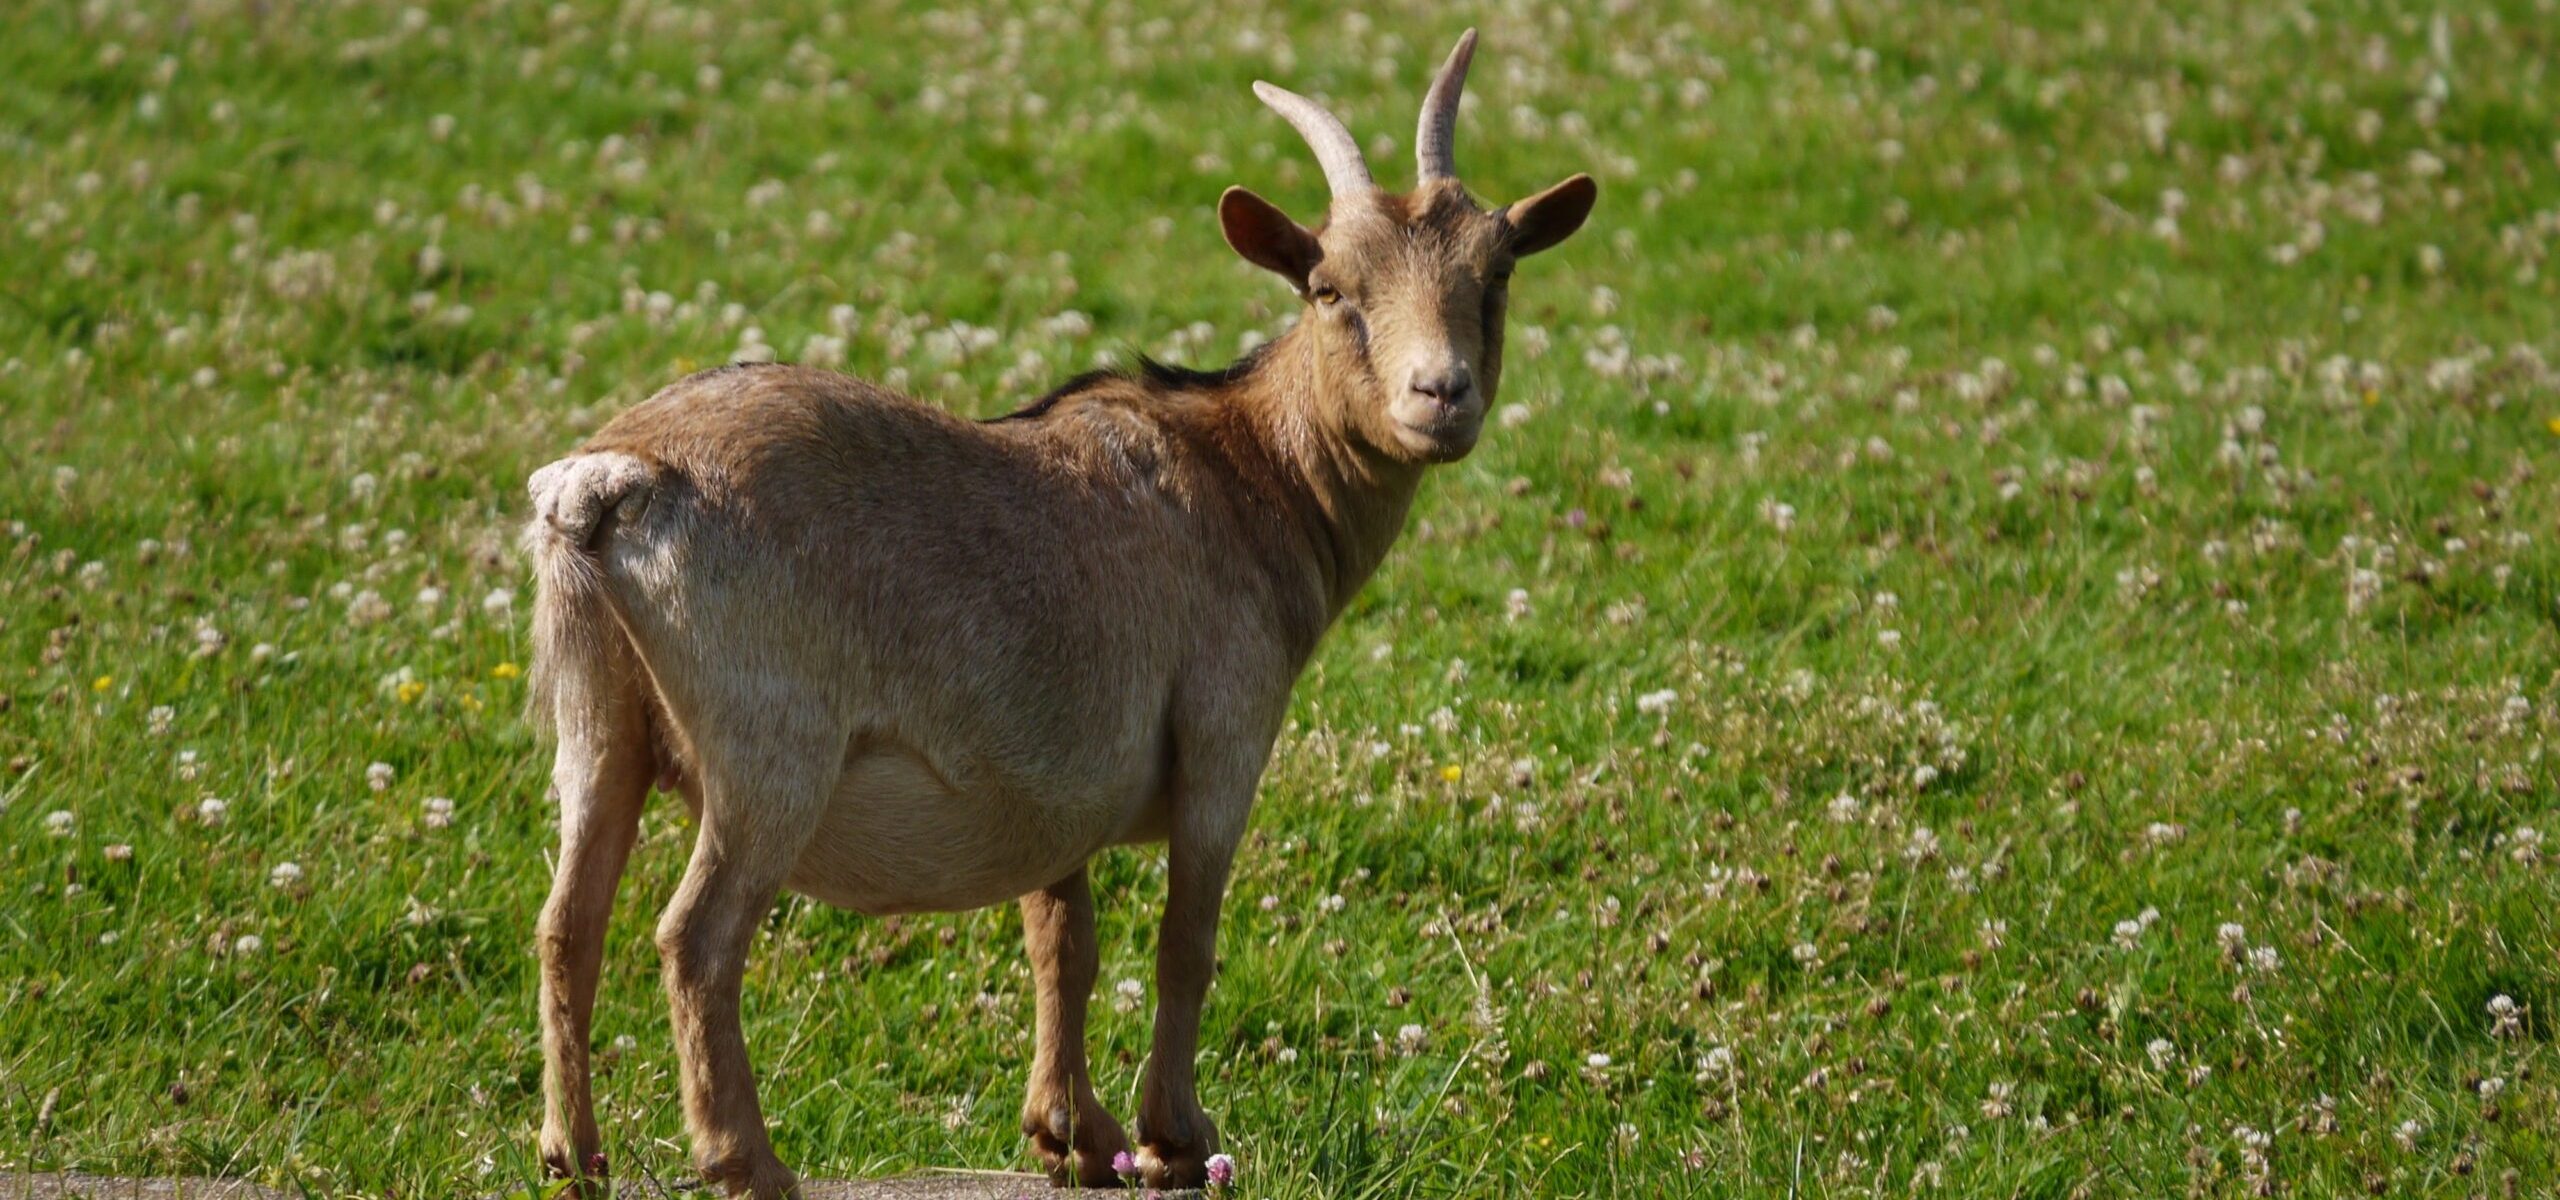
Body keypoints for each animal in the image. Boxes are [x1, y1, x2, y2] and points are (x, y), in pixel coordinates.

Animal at [522, 32, 1587, 1192]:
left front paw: (1073, 1132)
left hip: (598, 719)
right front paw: (1174, 1136)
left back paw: (574, 1156)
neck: (1247, 473)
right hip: (769, 747)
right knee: (697, 937)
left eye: (1496, 273)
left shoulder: (1053, 779)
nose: (1440, 394)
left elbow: (1062, 939)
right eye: (1327, 286)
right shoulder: (1223, 734)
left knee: (568, 922)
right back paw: (747, 1161)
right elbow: (1184, 940)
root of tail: (611, 481)